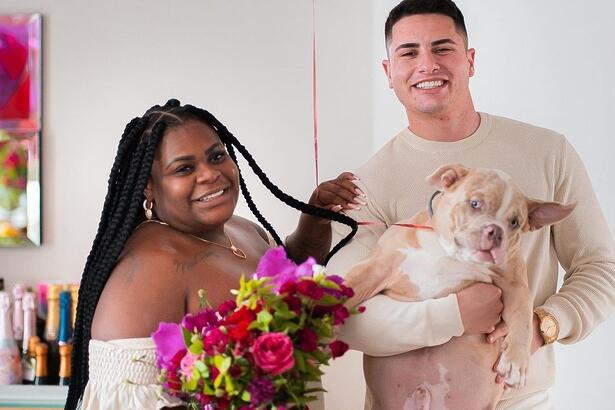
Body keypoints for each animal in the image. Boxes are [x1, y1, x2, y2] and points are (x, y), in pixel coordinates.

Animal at [344, 164, 576, 410]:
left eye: (514, 222)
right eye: (474, 203)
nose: (495, 231)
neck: (449, 253)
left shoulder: (516, 287)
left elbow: (522, 322)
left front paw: (515, 364)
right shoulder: (378, 267)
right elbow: (349, 285)